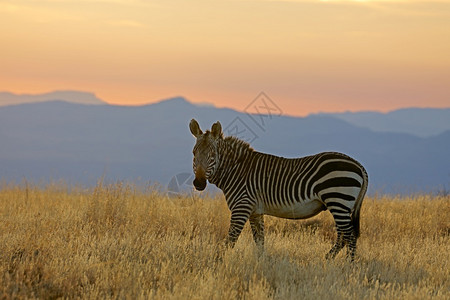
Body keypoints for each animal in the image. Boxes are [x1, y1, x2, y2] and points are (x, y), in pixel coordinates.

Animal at [190, 119, 370, 260]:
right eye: (194, 153)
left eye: (212, 155)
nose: (199, 183)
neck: (236, 170)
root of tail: (359, 166)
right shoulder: (255, 211)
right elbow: (259, 241)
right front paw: (262, 263)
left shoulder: (242, 207)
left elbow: (230, 240)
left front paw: (217, 262)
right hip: (341, 204)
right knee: (343, 235)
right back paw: (328, 260)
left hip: (338, 199)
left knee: (350, 236)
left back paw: (348, 266)